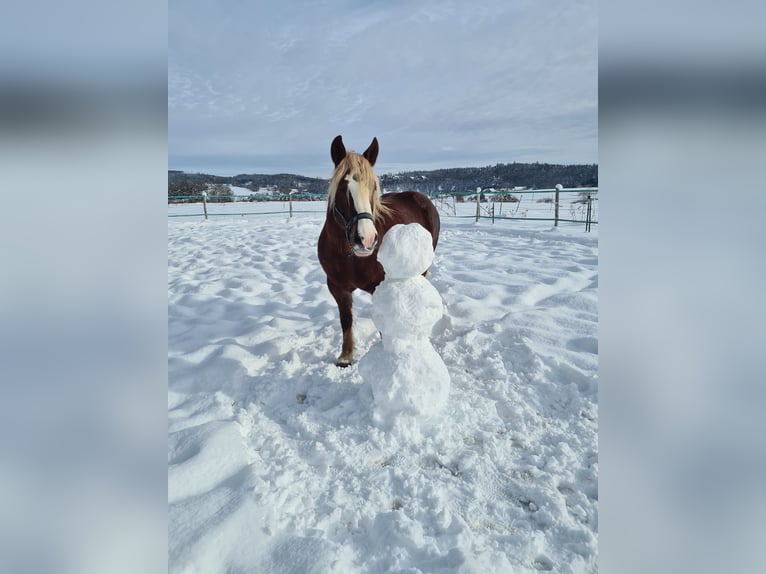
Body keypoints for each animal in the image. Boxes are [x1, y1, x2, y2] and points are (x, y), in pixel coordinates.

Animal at [318, 136, 440, 368]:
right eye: (343, 187)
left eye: (373, 187)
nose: (366, 239)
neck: (348, 256)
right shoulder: (337, 288)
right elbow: (346, 321)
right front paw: (346, 357)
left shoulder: (379, 287)